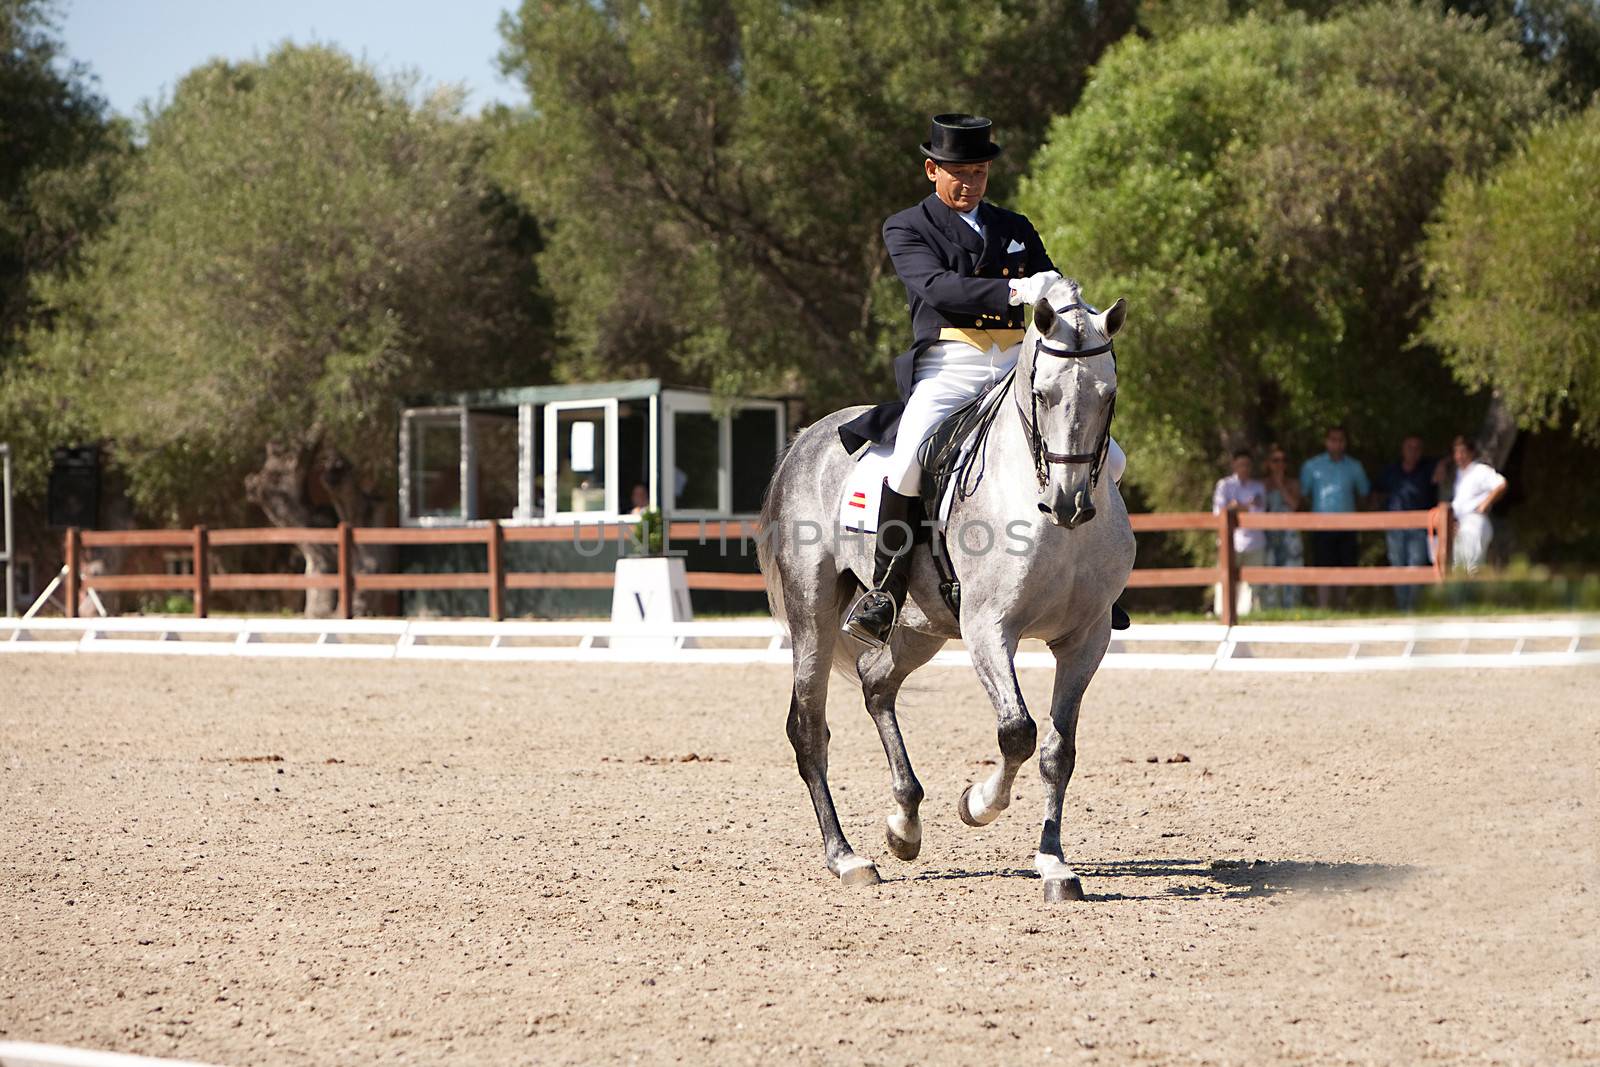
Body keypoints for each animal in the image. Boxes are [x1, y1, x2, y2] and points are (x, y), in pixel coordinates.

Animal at [755, 279, 1132, 908]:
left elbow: (1058, 751)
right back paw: (847, 858)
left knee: (877, 685)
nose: (1070, 503)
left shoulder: (1087, 638)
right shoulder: (989, 629)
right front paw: (977, 804)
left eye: (1108, 395)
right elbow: (1017, 732)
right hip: (814, 613)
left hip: (918, 625)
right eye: (1044, 394)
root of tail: (807, 439)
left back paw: (903, 824)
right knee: (808, 728)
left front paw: (1054, 864)